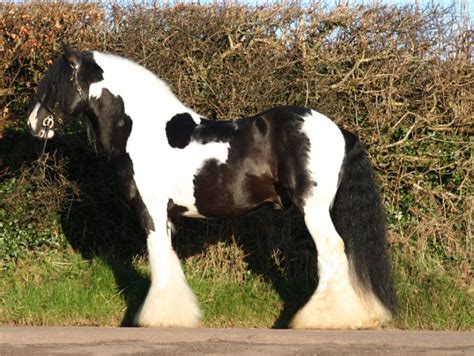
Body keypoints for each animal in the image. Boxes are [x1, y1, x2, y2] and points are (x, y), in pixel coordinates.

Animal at [26, 46, 396, 330]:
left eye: (56, 83)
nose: (33, 123)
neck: (141, 130)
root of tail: (337, 130)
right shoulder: (165, 216)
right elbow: (168, 259)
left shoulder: (151, 211)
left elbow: (158, 258)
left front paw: (159, 318)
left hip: (313, 209)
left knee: (332, 251)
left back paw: (323, 319)